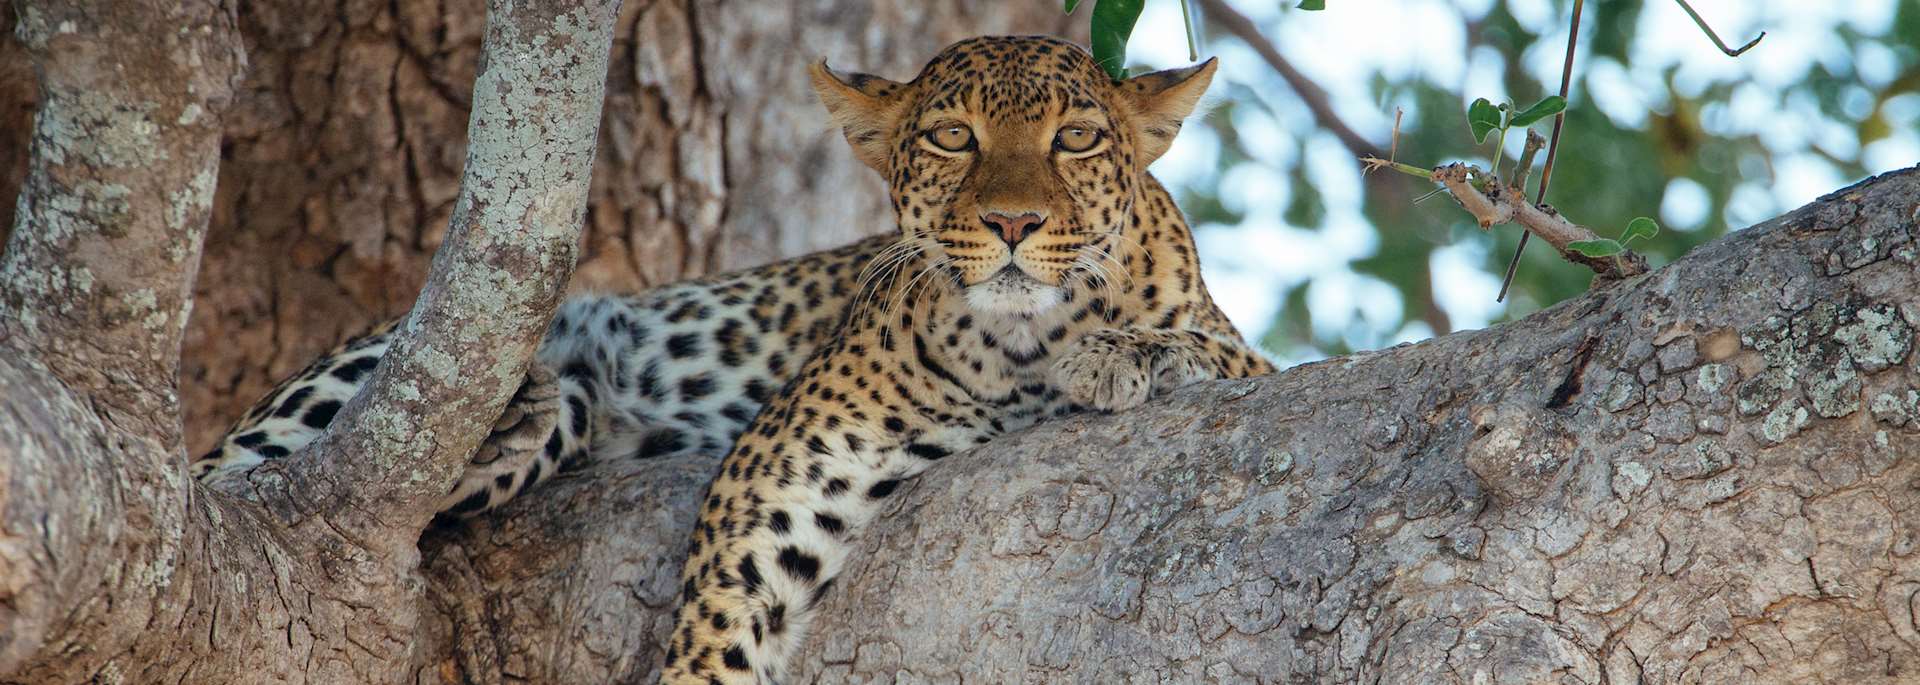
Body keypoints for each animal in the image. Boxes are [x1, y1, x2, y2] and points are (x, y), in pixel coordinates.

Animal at [658, 36, 1273, 684]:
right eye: (953, 136)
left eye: (1076, 137)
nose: (1013, 222)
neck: (1021, 347)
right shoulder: (766, 500)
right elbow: (710, 641)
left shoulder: (1241, 352)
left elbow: (1213, 347)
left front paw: (1117, 355)